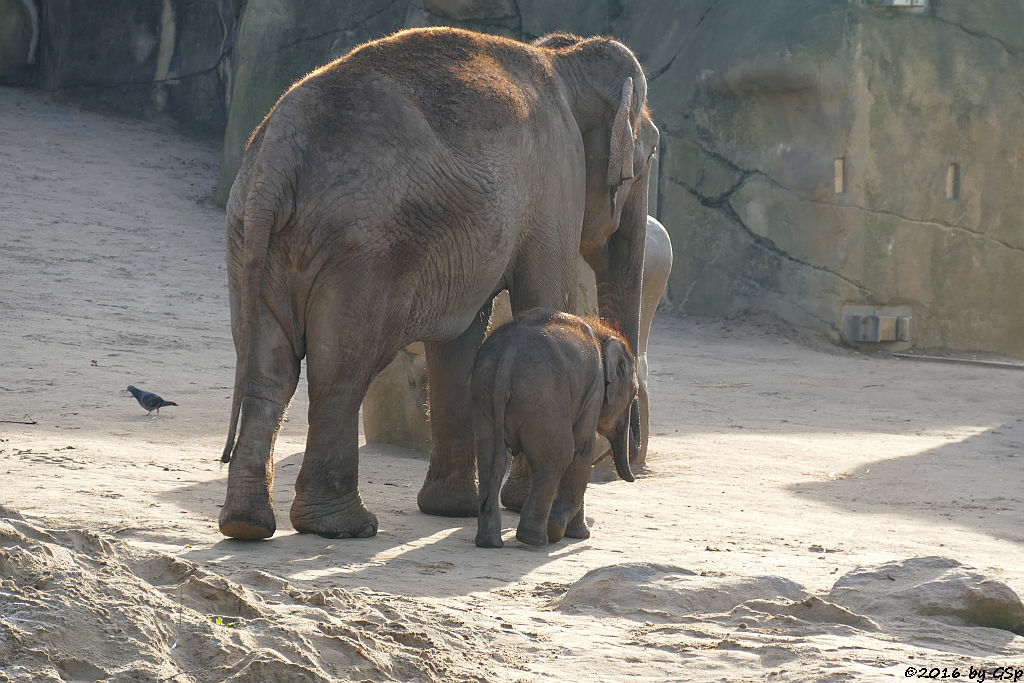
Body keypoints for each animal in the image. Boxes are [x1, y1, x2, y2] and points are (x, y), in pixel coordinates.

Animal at [468, 307, 634, 548]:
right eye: (634, 396)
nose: (633, 479)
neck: (603, 334)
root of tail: (506, 361)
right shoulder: (593, 391)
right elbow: (582, 450)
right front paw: (574, 534)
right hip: (544, 397)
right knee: (558, 459)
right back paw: (537, 538)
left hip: (484, 395)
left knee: (491, 461)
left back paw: (489, 542)